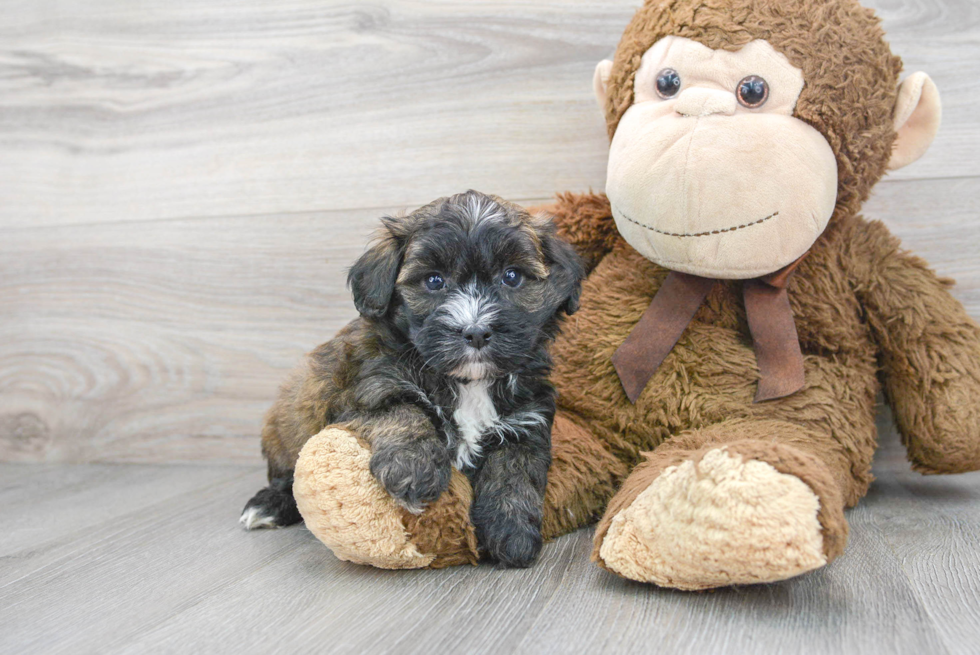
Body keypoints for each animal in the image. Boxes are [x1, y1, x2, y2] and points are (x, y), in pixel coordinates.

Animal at [241, 190, 584, 568]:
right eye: (434, 281)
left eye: (511, 277)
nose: (476, 332)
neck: (467, 383)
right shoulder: (367, 389)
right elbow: (404, 410)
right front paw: (414, 468)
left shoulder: (526, 417)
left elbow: (516, 470)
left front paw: (512, 529)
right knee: (285, 476)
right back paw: (269, 504)